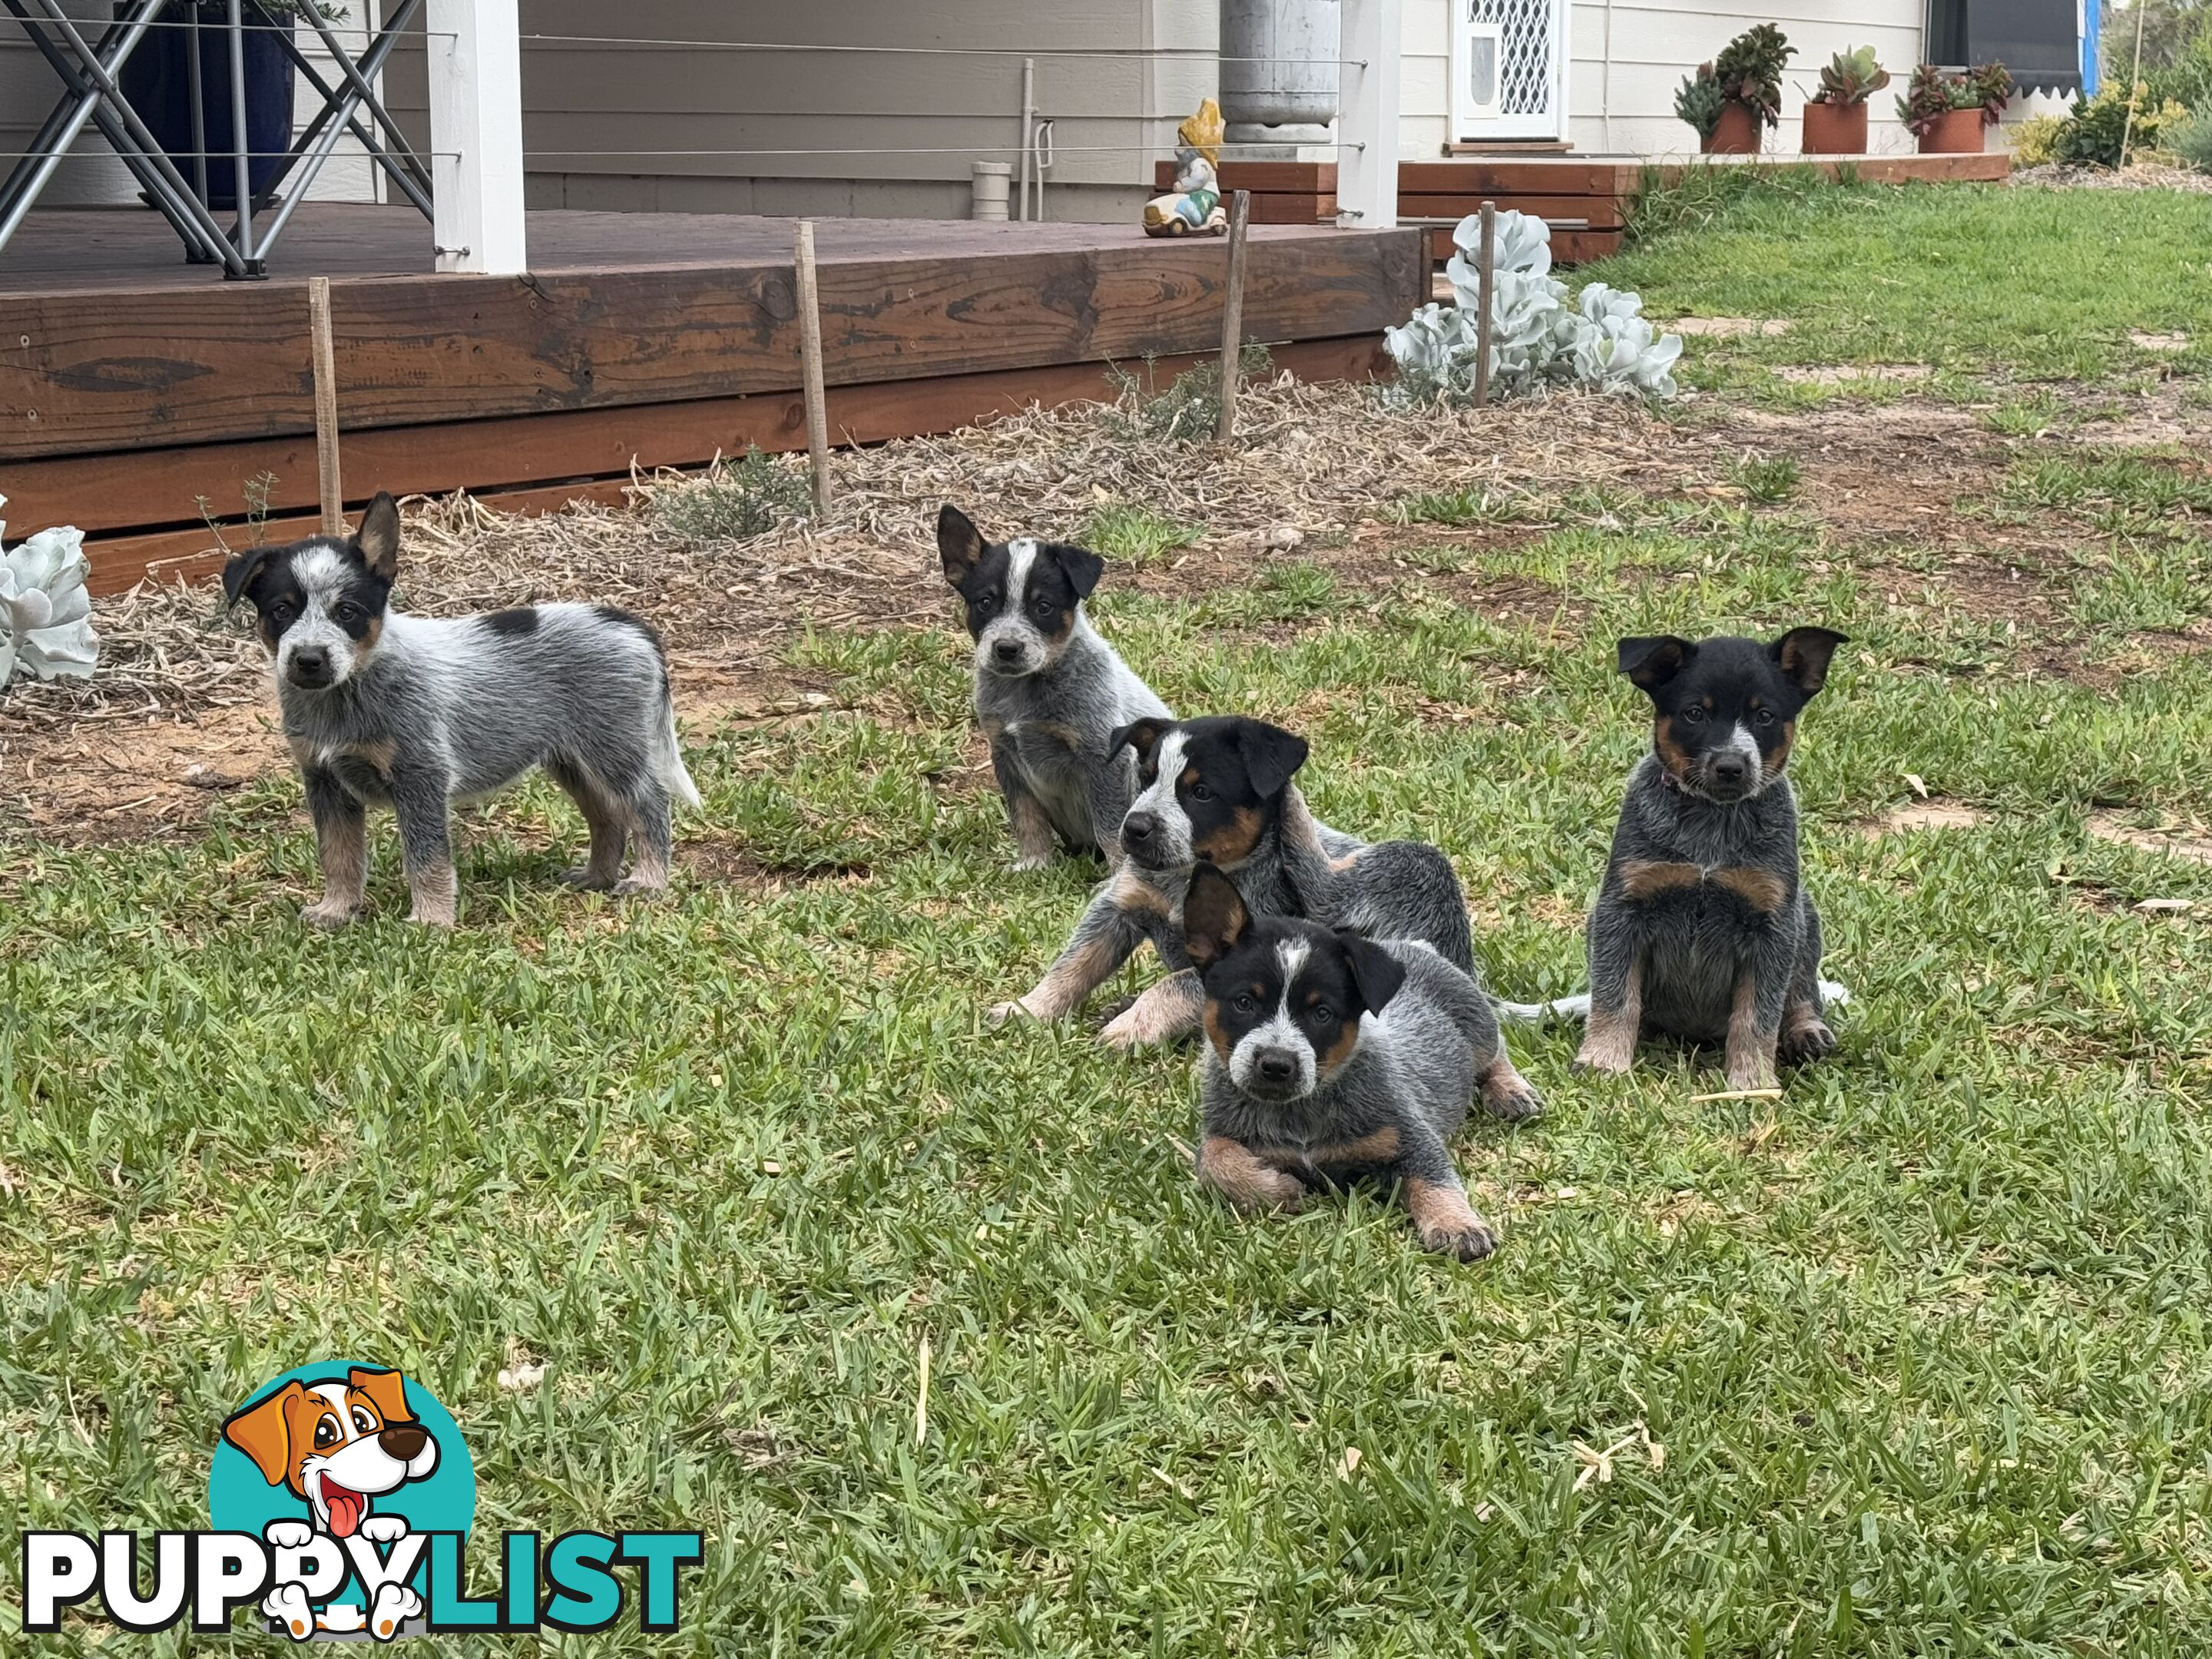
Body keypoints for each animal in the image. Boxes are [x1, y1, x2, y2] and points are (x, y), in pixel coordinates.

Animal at [223, 493, 690, 938]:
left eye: (347, 611)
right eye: (281, 610)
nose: (308, 660)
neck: (348, 692)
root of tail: (631, 625)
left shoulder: (420, 777)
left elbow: (425, 858)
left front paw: (431, 922)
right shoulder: (325, 783)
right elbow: (338, 855)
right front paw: (336, 910)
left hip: (613, 749)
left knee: (649, 803)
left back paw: (649, 880)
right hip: (572, 760)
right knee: (607, 815)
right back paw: (597, 877)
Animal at [938, 504, 1177, 871]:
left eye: (1044, 606)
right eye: (985, 602)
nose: (1007, 648)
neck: (1024, 691)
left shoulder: (1101, 755)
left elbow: (1110, 824)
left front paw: (1118, 872)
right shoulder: (1005, 754)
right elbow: (1026, 817)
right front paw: (1033, 864)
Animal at [995, 717, 1477, 1052]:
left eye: (1201, 792)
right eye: (1145, 779)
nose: (1133, 828)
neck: (1188, 879)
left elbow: (1174, 983)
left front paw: (1131, 1026)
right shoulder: (1122, 905)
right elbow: (1073, 965)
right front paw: (1027, 1009)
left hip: (1408, 866)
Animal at [1185, 863, 1530, 1265]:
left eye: (1322, 1012)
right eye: (1244, 1002)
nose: (1276, 1064)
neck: (1300, 1114)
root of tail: (1415, 946)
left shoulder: (1409, 1135)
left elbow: (1435, 1177)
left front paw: (1457, 1225)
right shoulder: (1222, 1130)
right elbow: (1212, 1158)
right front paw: (1273, 1187)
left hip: (1477, 1024)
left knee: (1496, 1048)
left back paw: (1511, 1090)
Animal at [1504, 628, 1849, 1097]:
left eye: (1764, 715)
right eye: (1694, 713)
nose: (1731, 765)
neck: (1711, 826)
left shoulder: (1772, 922)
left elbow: (1757, 1016)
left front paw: (1753, 1083)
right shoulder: (1622, 910)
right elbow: (1615, 998)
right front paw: (1602, 1062)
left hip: (1805, 915)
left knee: (1801, 990)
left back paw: (1807, 1031)